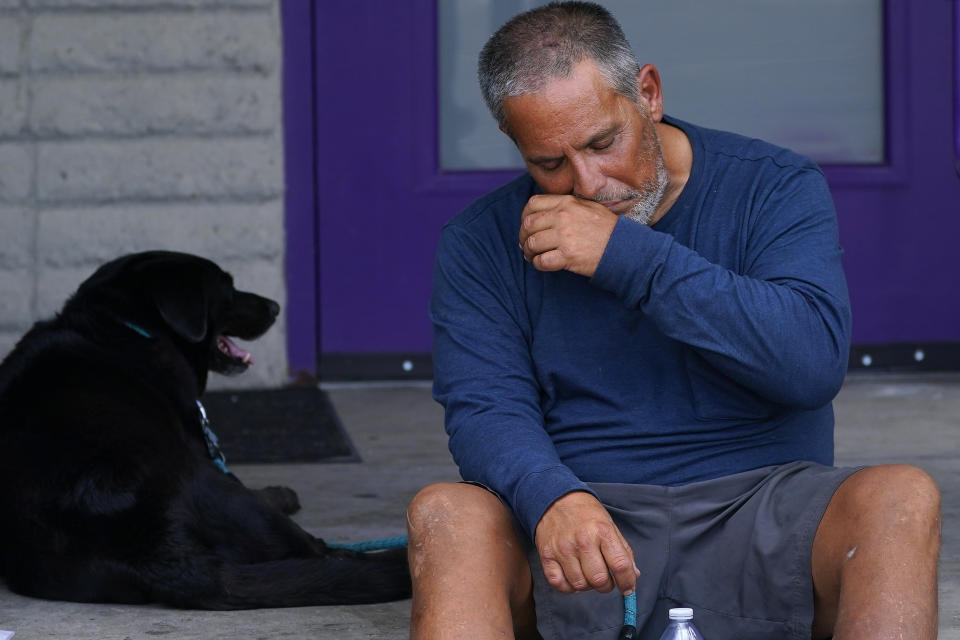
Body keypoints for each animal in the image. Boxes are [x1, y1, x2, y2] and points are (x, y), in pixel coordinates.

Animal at [0, 250, 408, 608]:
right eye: (228, 287)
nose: (275, 307)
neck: (123, 327)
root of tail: (156, 550)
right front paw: (280, 493)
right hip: (228, 496)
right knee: (322, 553)